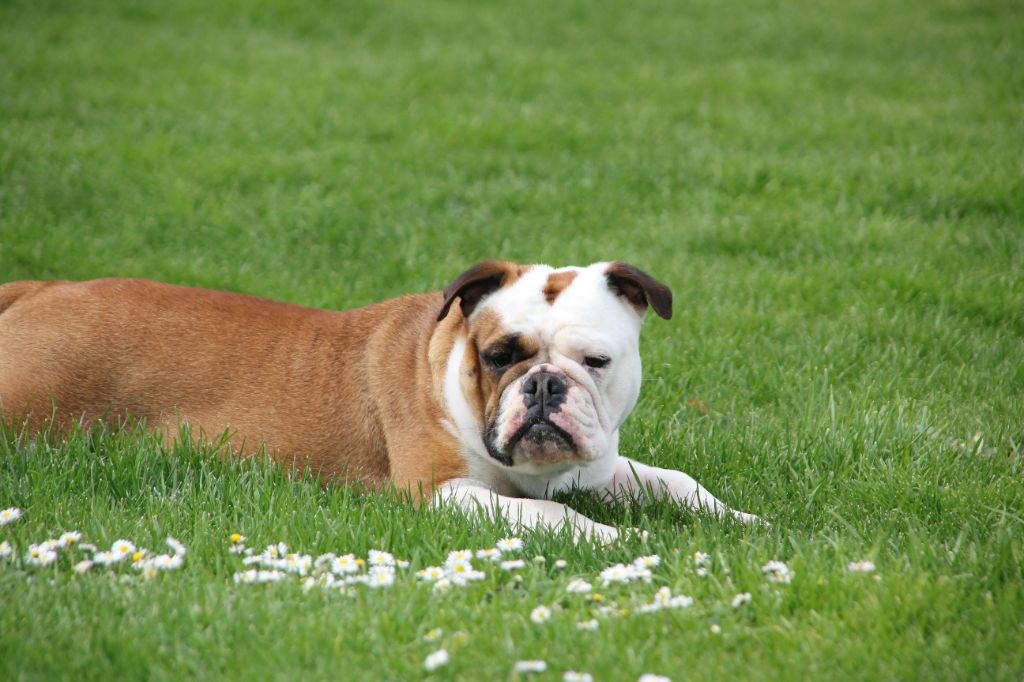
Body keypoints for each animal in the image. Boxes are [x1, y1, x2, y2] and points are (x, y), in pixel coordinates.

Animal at [0, 260, 761, 536]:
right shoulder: (441, 491)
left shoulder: (595, 465)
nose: (544, 385)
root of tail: (43, 289)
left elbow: (673, 481)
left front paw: (741, 518)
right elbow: (549, 516)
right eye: (499, 356)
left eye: (595, 362)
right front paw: (618, 539)